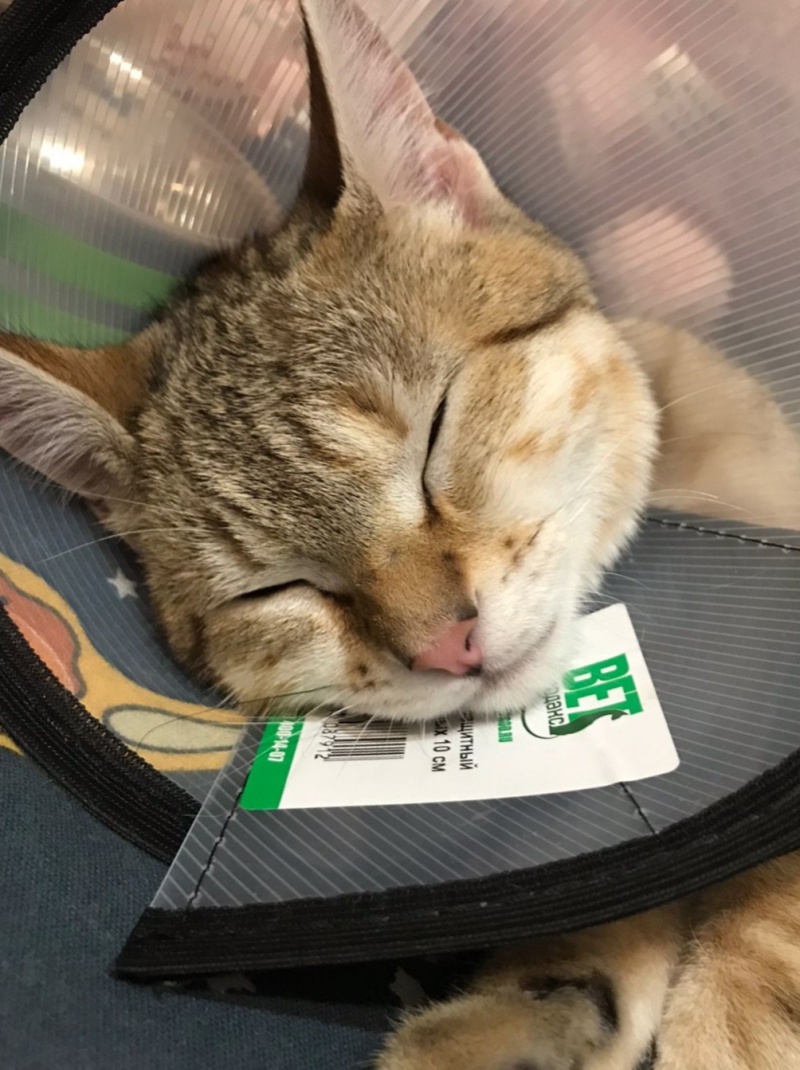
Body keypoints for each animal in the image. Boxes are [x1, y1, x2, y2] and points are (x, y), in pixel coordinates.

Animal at [0, 1, 799, 1067]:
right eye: (276, 589)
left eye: (435, 436)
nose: (448, 646)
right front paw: (536, 1003)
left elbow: (768, 909)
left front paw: (727, 1024)